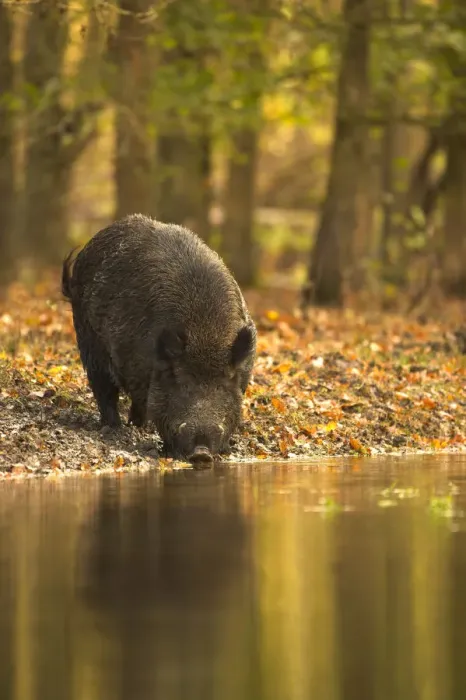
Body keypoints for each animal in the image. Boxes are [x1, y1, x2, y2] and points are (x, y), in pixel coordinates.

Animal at [62, 214, 256, 464]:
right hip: (88, 341)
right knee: (104, 389)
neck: (205, 335)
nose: (201, 452)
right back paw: (116, 428)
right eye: (179, 379)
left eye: (223, 382)